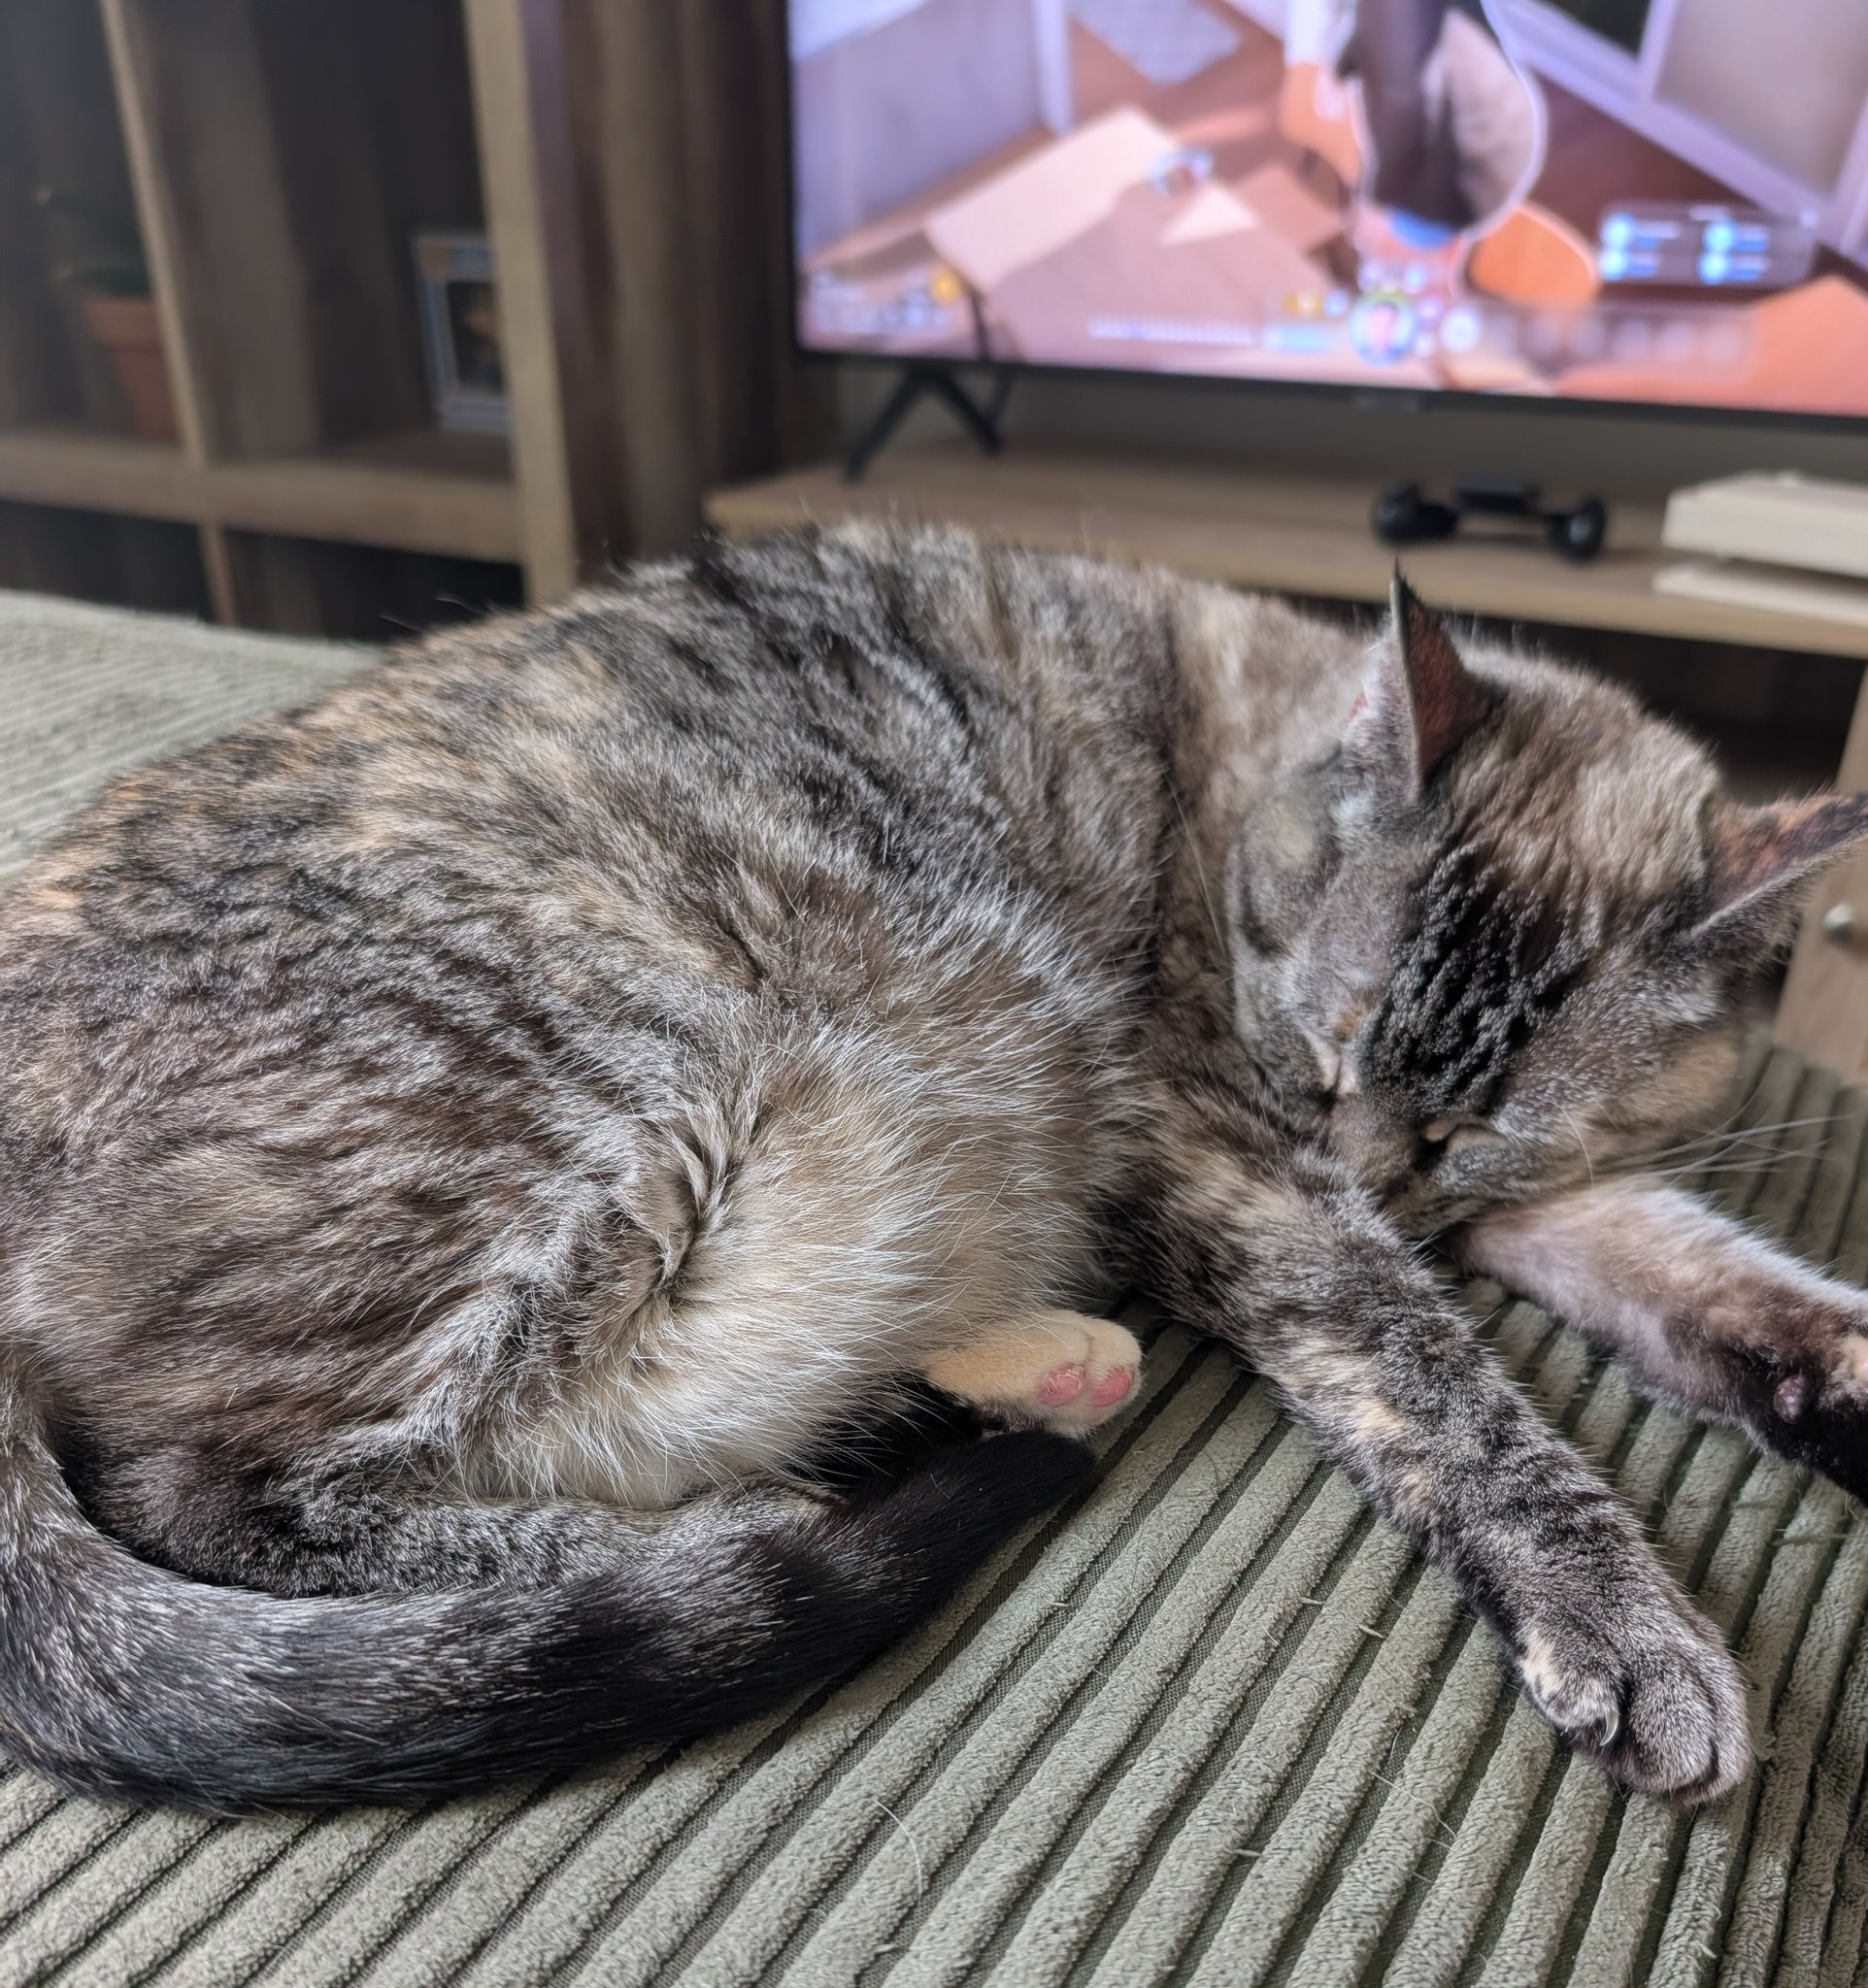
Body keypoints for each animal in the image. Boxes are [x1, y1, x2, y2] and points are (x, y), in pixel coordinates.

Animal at [1, 522, 1865, 1815]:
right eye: (1323, 1053)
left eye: (1469, 1127)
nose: (1365, 1161)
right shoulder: (1229, 1158)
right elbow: (1439, 1384)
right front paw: (1629, 1632)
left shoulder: (1514, 1193)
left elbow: (1689, 1261)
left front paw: (1823, 1366)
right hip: (631, 1101)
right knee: (218, 1488)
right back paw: (798, 1500)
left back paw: (993, 1384)